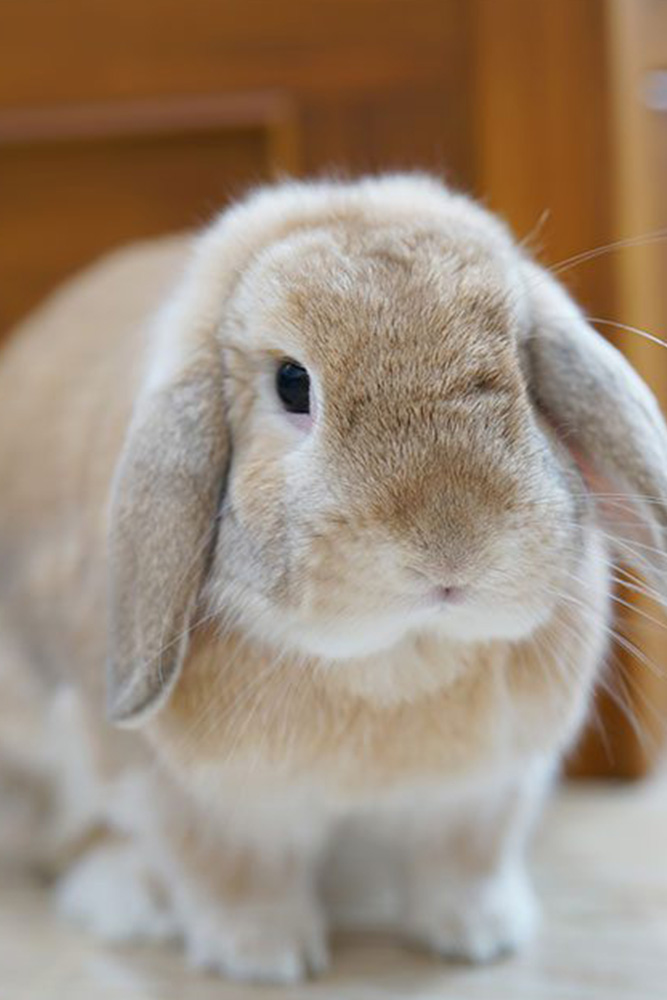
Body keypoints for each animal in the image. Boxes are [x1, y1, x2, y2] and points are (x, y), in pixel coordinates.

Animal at [1, 174, 666, 984]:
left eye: (520, 363)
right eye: (293, 384)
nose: (451, 549)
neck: (395, 663)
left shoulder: (483, 795)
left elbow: (463, 864)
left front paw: (479, 937)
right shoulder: (200, 807)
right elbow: (232, 877)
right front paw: (262, 958)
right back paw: (129, 900)